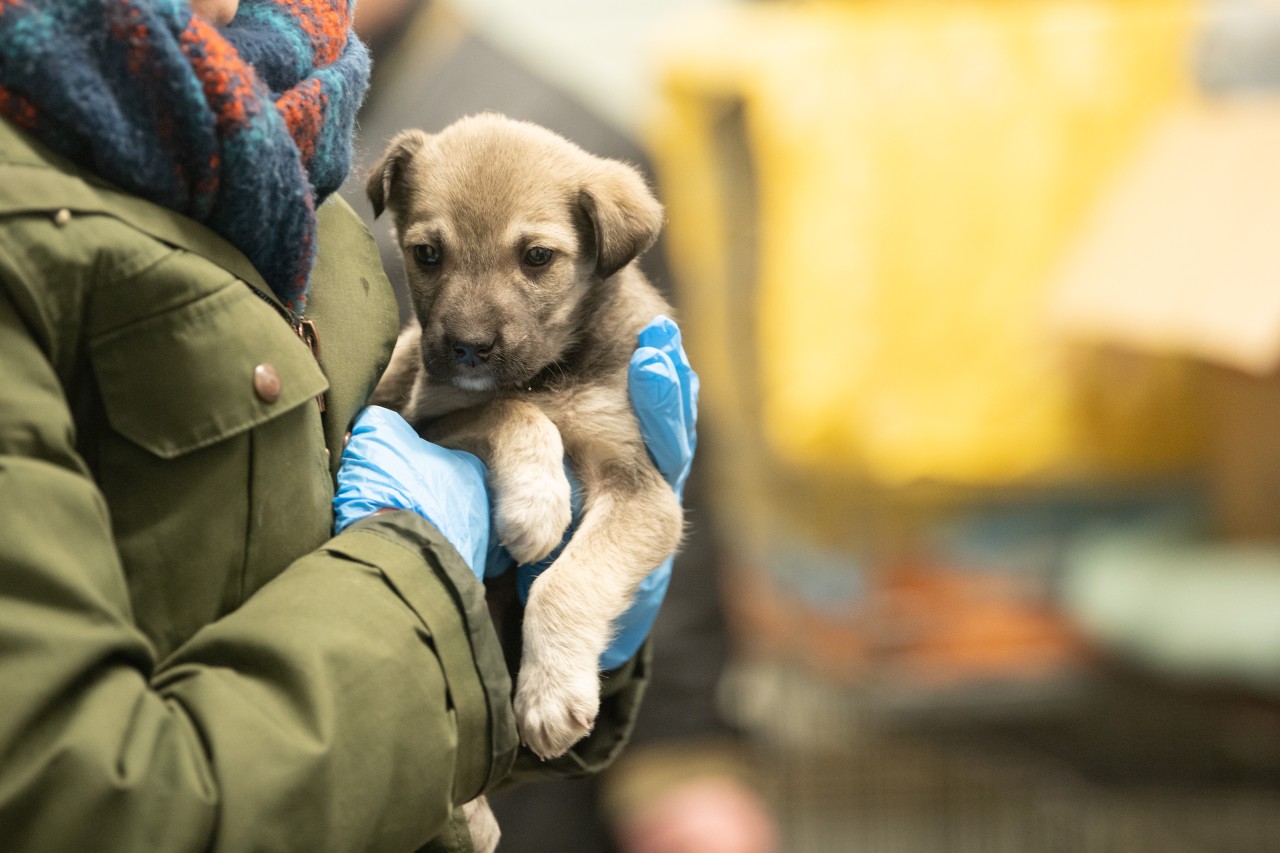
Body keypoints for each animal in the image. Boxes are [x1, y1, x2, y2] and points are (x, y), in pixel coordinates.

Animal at [368, 109, 686, 778]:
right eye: (427, 253)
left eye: (538, 257)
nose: (467, 347)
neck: (546, 377)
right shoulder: (426, 416)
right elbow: (510, 410)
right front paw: (536, 506)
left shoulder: (642, 488)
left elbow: (566, 581)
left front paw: (549, 692)